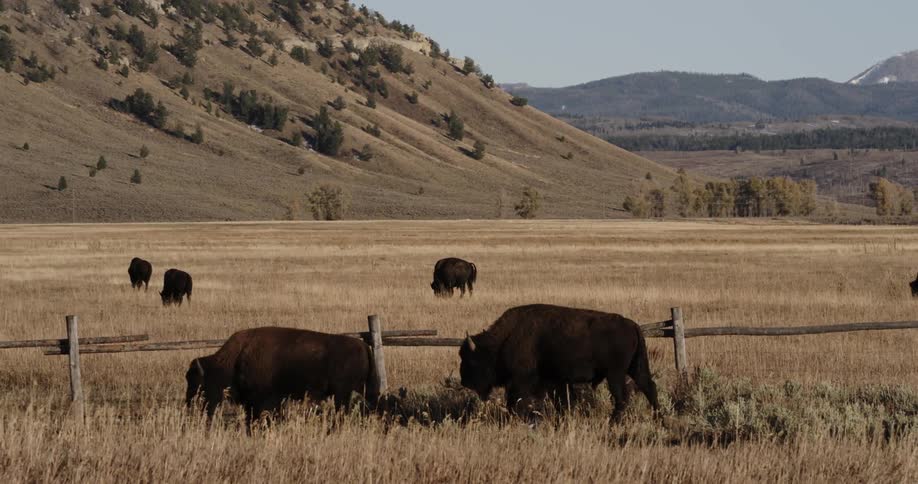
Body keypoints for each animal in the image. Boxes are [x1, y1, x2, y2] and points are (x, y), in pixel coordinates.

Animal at [186, 327, 379, 425]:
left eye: (200, 383)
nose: (191, 405)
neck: (234, 359)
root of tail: (363, 346)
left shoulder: (265, 400)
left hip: (342, 394)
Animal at [459, 304, 659, 420]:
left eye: (471, 360)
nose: (464, 381)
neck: (505, 339)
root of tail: (633, 325)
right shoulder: (555, 382)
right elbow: (561, 403)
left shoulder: (523, 381)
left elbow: (517, 402)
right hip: (636, 367)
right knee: (649, 388)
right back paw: (658, 419)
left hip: (615, 374)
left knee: (622, 397)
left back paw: (613, 423)